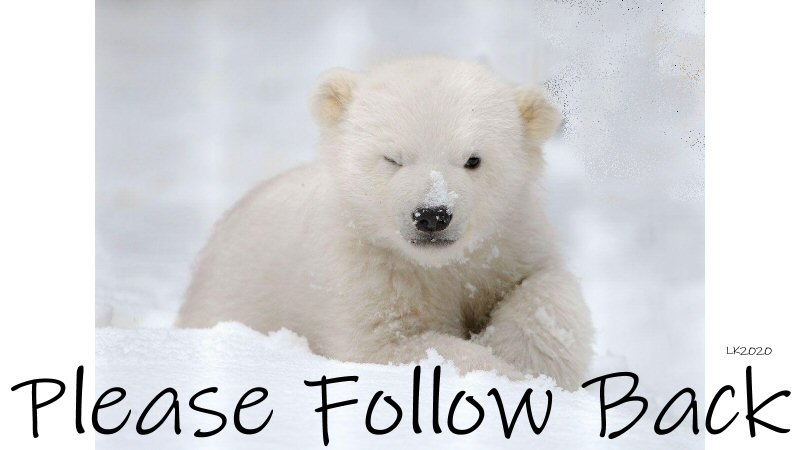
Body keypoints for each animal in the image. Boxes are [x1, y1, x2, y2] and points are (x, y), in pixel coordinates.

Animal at [176, 57, 594, 390]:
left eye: (473, 159)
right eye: (393, 158)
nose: (432, 215)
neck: (435, 267)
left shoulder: (508, 240)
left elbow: (544, 287)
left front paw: (524, 361)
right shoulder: (364, 268)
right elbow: (387, 346)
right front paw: (504, 374)